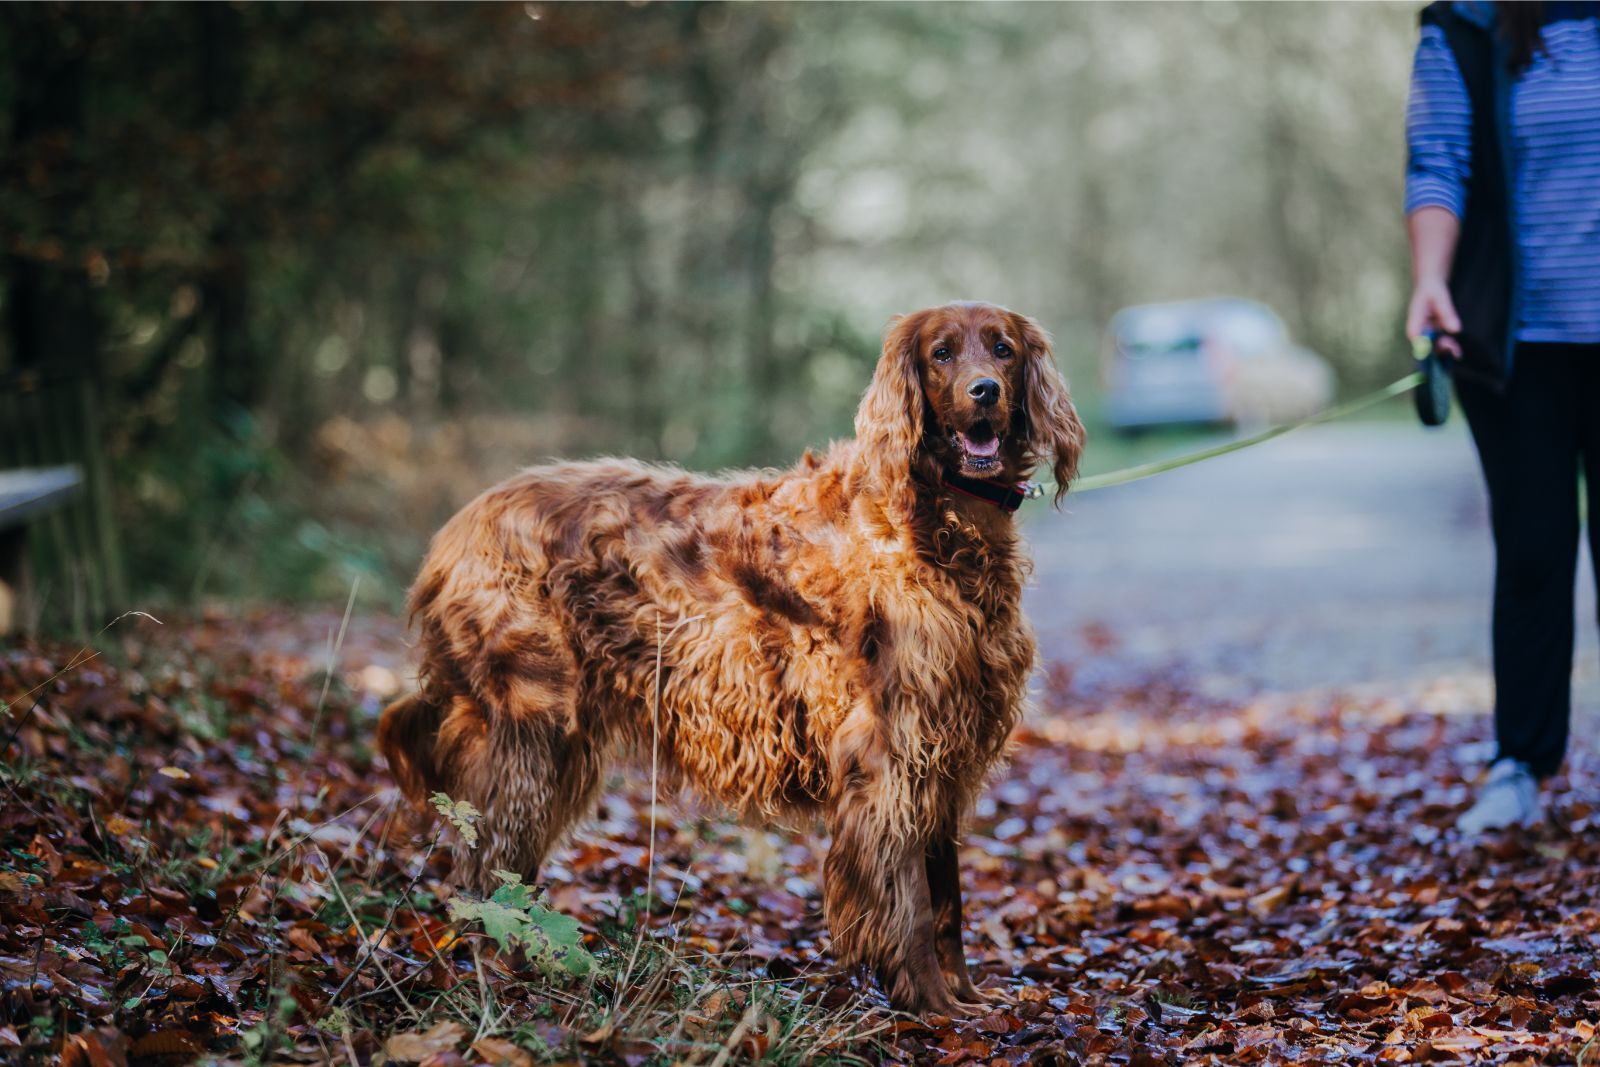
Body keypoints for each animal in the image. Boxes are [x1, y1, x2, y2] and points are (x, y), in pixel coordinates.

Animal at [379, 302, 1081, 1017]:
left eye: (1002, 348)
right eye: (942, 354)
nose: (984, 392)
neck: (933, 521)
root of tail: (459, 527)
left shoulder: (945, 749)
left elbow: (948, 901)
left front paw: (965, 997)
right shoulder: (889, 756)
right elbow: (910, 902)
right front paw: (932, 1008)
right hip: (529, 730)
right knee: (484, 869)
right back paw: (498, 973)